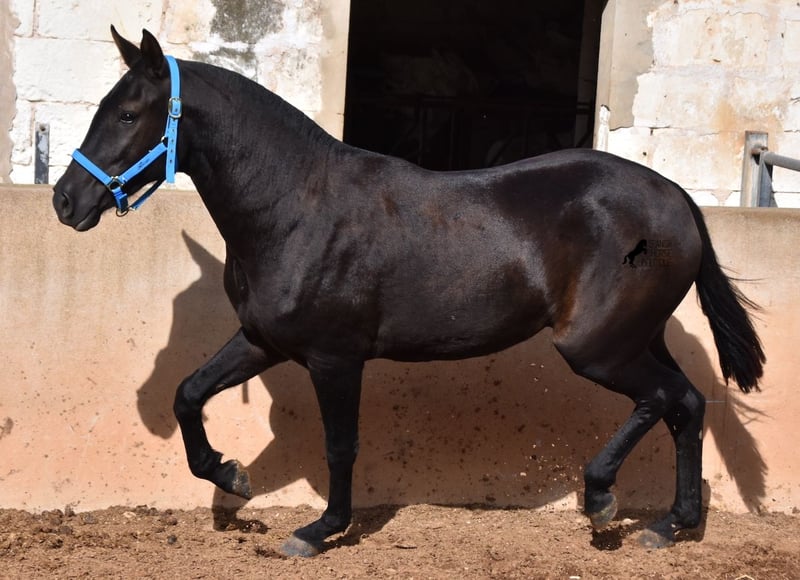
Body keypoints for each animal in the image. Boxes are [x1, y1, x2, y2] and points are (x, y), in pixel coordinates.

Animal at [53, 28, 765, 557]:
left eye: (127, 113)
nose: (65, 201)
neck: (295, 207)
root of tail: (675, 199)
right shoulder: (263, 340)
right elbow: (189, 394)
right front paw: (232, 475)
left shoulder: (335, 357)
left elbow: (340, 446)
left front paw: (318, 530)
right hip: (635, 338)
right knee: (687, 406)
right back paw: (670, 525)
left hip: (597, 348)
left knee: (662, 400)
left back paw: (601, 499)